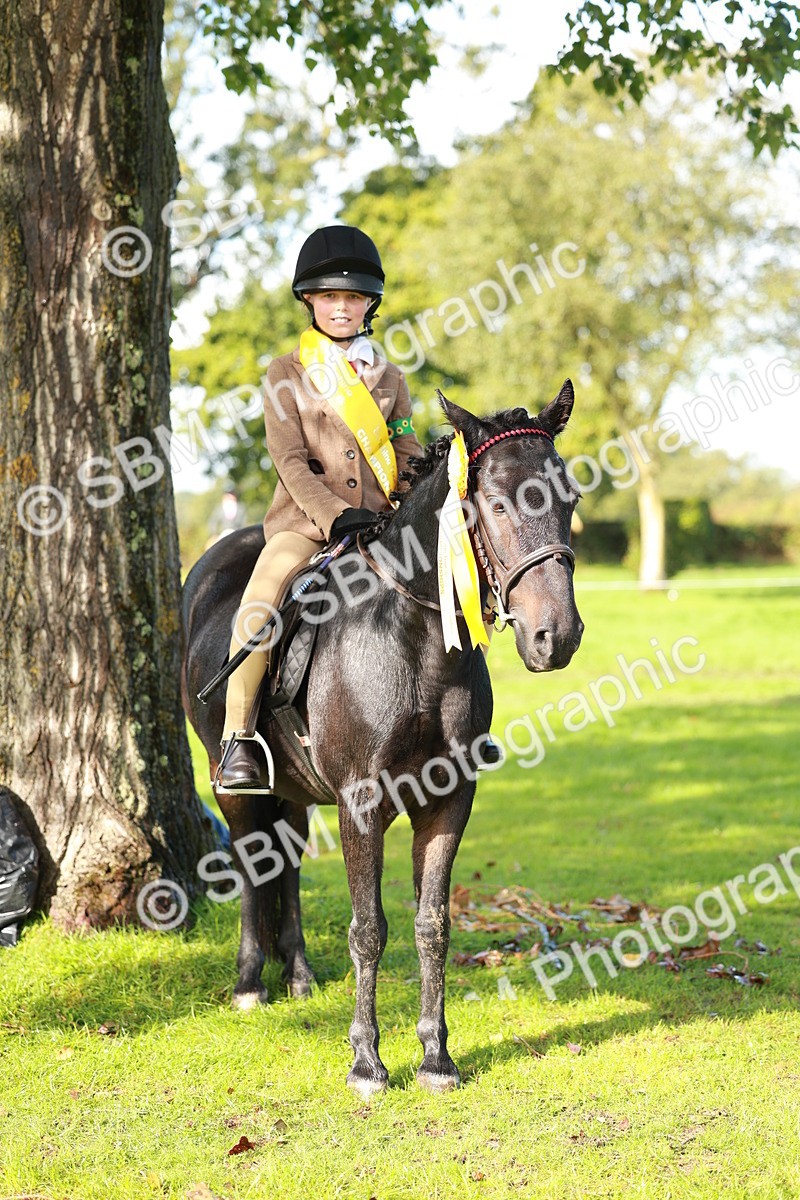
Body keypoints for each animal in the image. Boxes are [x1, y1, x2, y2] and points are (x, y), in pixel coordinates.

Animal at [181, 386, 583, 1098]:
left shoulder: (448, 801)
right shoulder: (361, 804)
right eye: (498, 504)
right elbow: (369, 928)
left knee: (284, 858)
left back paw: (299, 975)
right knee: (253, 859)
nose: (554, 637)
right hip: (232, 780)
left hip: (296, 788)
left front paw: (435, 1056)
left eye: (571, 499)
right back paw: (251, 983)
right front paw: (367, 1062)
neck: (412, 636)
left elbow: (432, 925)